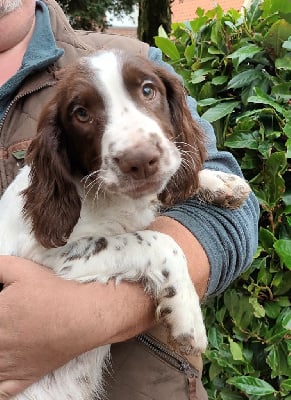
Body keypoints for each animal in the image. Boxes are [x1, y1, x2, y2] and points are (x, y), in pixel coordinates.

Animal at [0, 50, 251, 400]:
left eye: (148, 90)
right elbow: (155, 240)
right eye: (81, 113)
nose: (140, 160)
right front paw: (187, 315)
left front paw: (222, 183)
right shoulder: (46, 258)